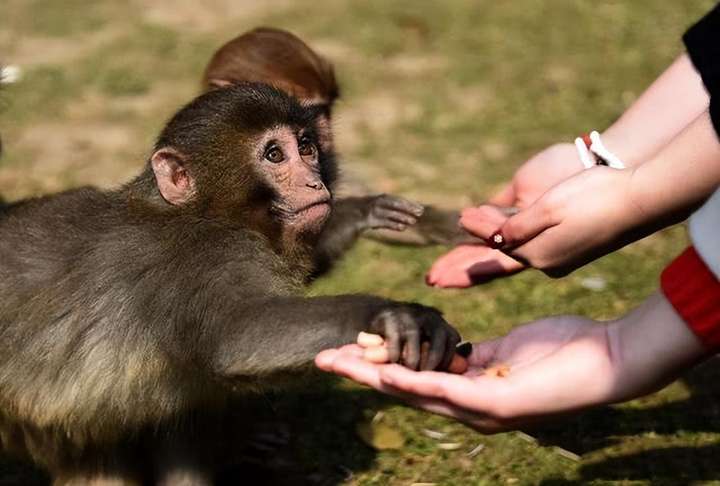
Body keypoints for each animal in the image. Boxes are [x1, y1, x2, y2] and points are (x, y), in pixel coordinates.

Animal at [0, 81, 462, 484]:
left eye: (306, 147)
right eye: (274, 154)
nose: (315, 181)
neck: (203, 211)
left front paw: (364, 211)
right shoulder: (205, 258)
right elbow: (237, 335)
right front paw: (391, 315)